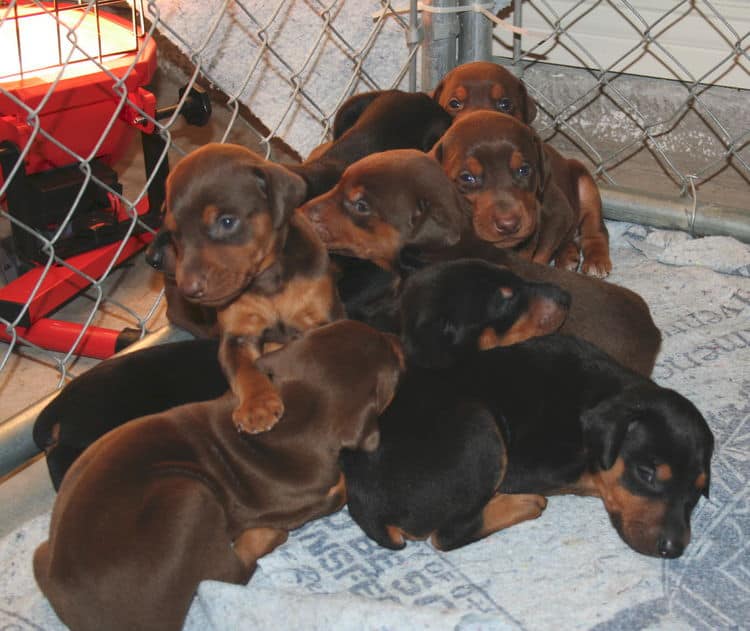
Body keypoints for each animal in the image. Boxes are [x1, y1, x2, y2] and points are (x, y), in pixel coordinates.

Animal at [33, 320, 406, 631]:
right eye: (393, 362)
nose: (395, 336)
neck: (297, 415)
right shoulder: (313, 495)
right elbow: (338, 490)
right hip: (189, 498)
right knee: (223, 575)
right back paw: (265, 536)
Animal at [146, 142, 344, 434]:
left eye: (227, 222)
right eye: (175, 234)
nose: (188, 289)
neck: (267, 282)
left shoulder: (322, 316)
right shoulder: (238, 335)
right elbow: (246, 372)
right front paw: (257, 407)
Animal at [432, 111, 612, 278]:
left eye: (524, 170)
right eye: (467, 178)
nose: (508, 225)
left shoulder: (558, 211)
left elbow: (540, 255)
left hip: (585, 184)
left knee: (595, 230)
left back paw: (596, 260)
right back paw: (567, 255)